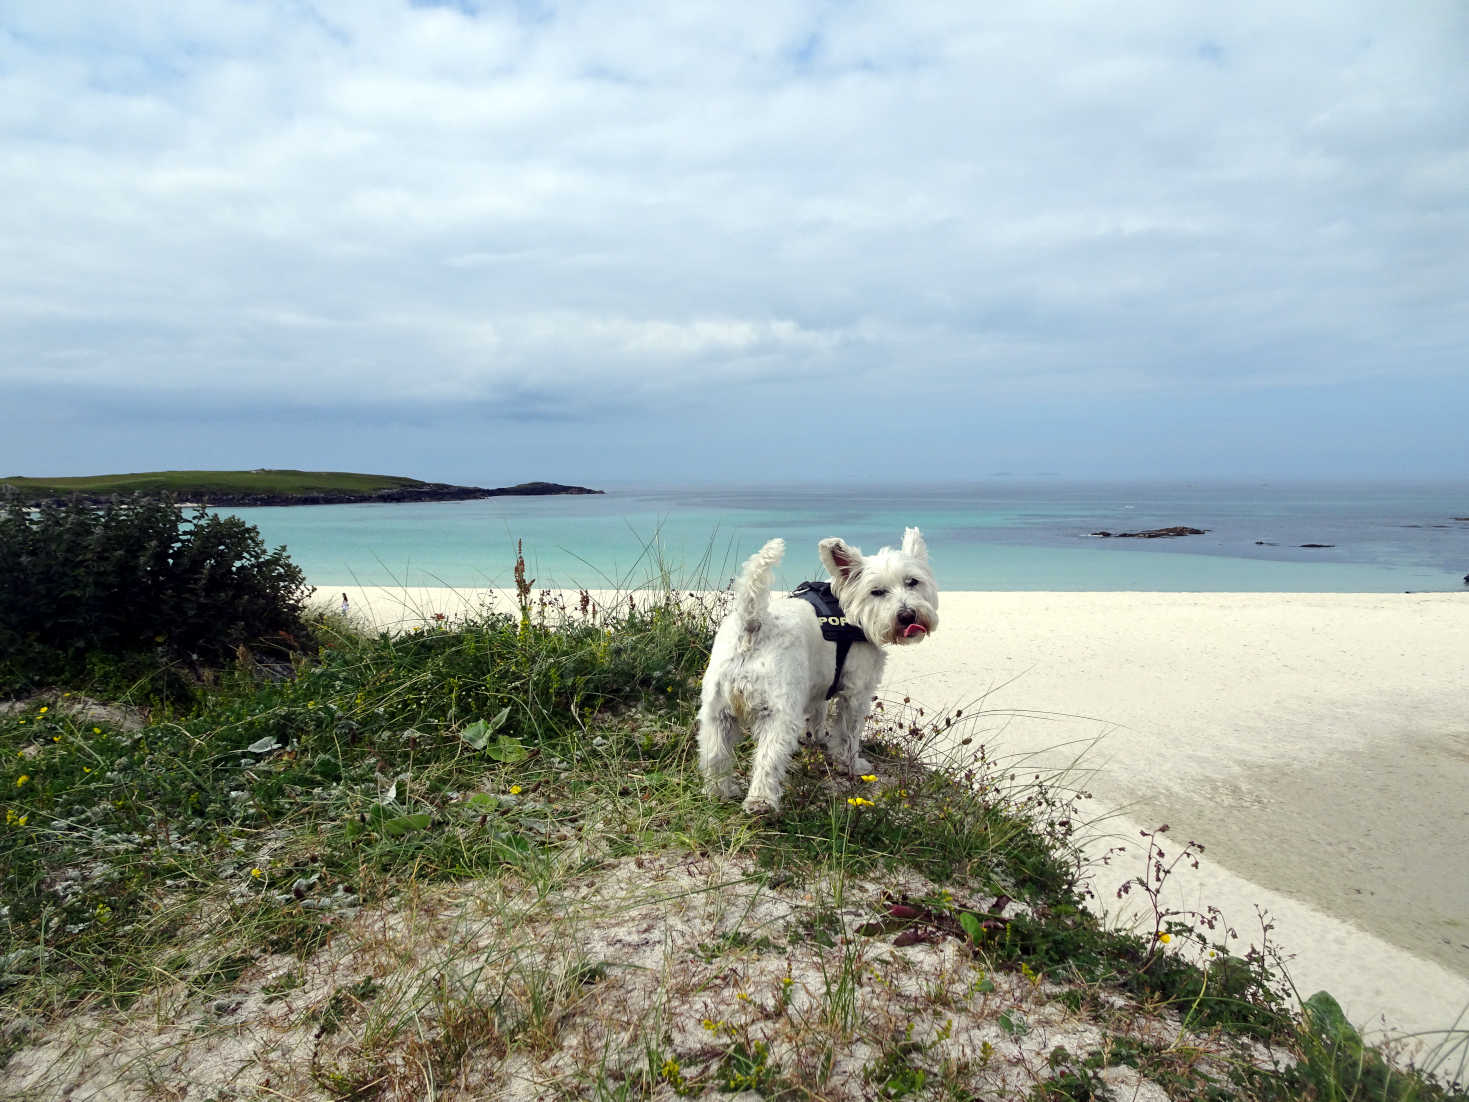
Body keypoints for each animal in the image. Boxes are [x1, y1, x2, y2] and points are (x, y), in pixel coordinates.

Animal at [699, 531, 940, 816]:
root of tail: (753, 625)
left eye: (912, 581)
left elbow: (817, 715)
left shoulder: (818, 686)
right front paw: (851, 765)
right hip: (778, 715)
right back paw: (761, 803)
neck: (851, 613)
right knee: (768, 759)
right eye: (877, 591)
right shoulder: (856, 694)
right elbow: (849, 734)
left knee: (715, 754)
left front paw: (814, 738)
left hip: (717, 712)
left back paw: (720, 792)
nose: (907, 615)